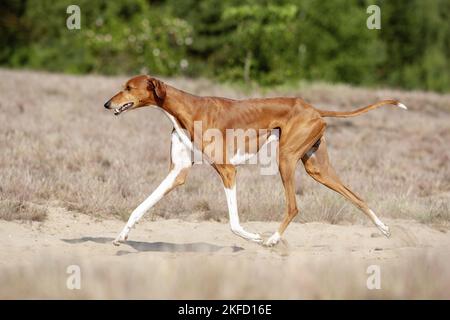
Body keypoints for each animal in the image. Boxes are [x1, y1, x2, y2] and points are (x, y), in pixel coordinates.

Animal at [103, 75, 406, 248]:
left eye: (128, 88)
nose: (107, 104)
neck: (185, 110)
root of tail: (314, 108)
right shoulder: (178, 172)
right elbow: (140, 207)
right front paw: (121, 236)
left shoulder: (227, 170)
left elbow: (233, 223)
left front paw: (254, 237)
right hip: (317, 168)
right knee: (357, 196)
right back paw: (384, 229)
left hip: (286, 160)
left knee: (293, 206)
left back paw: (272, 239)